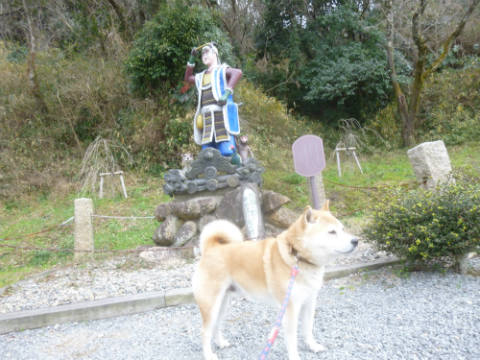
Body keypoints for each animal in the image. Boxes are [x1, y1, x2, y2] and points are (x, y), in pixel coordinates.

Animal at [193, 201, 358, 358]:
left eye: (342, 229)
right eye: (332, 232)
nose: (356, 241)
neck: (297, 256)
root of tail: (211, 247)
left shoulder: (309, 302)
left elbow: (308, 329)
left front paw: (313, 346)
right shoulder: (290, 309)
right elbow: (292, 339)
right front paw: (295, 357)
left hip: (223, 304)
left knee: (216, 325)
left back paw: (221, 343)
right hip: (211, 305)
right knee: (204, 331)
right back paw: (208, 355)